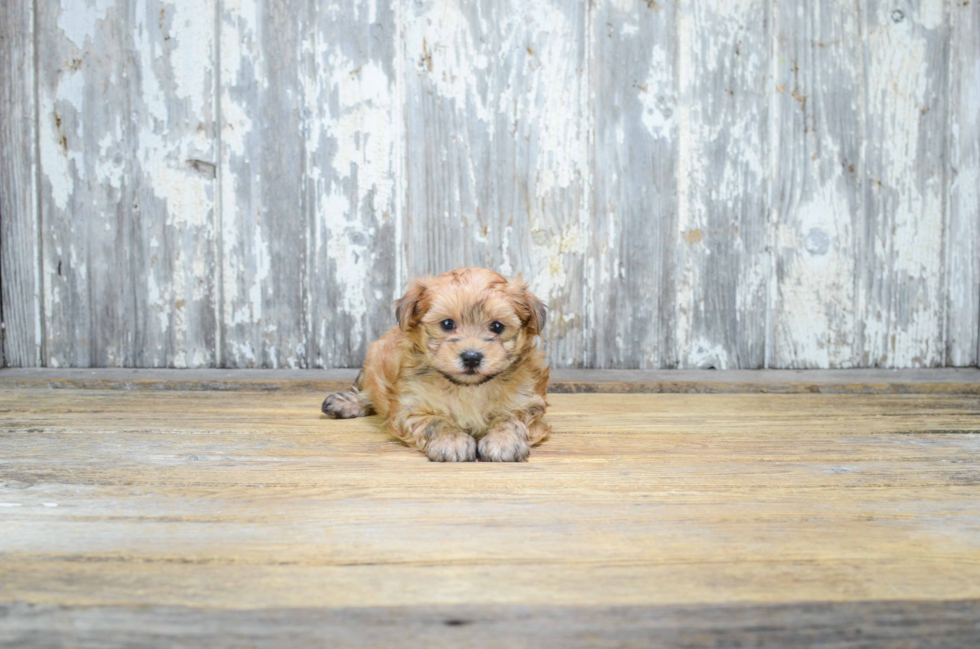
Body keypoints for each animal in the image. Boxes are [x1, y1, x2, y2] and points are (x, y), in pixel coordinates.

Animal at [324, 268, 548, 460]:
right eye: (447, 324)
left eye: (497, 327)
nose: (471, 357)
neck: (468, 388)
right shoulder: (411, 407)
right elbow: (435, 421)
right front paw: (452, 440)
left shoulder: (527, 402)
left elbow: (510, 418)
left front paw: (503, 440)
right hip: (373, 359)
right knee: (369, 392)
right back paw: (346, 403)